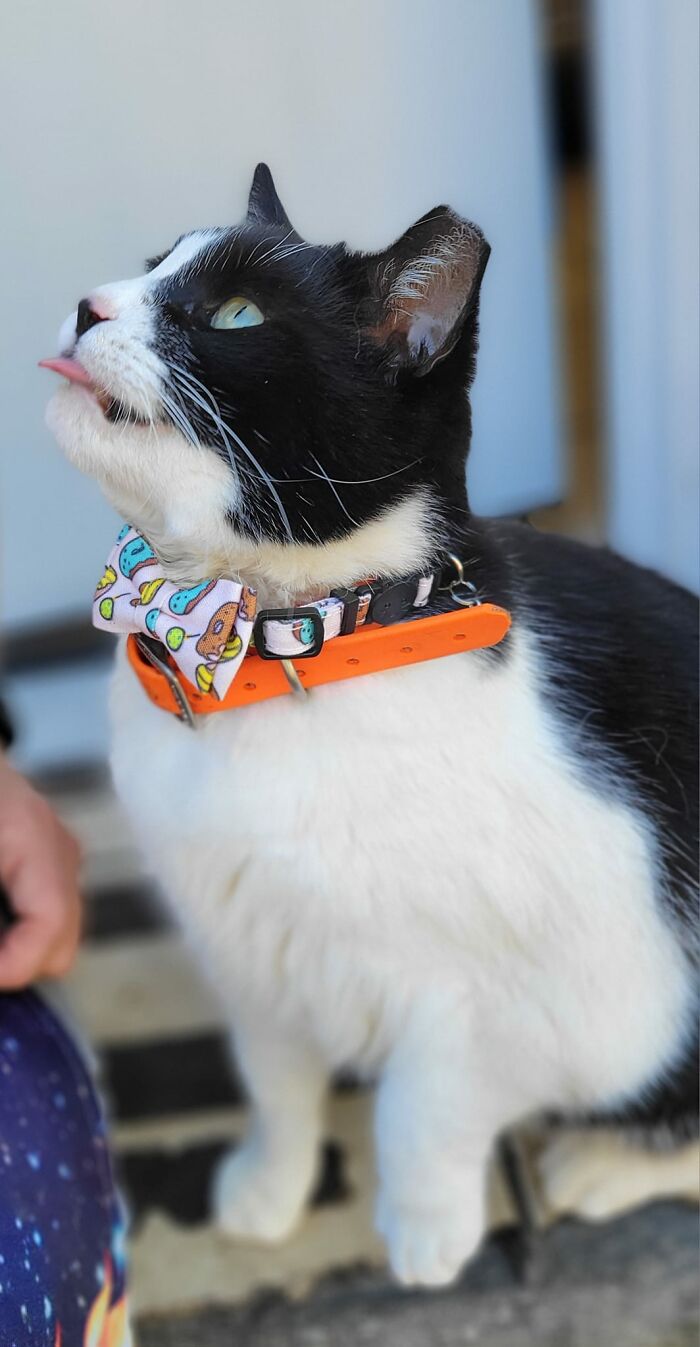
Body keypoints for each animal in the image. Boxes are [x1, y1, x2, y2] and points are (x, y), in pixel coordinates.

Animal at [45, 165, 700, 1282]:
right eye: (149, 268)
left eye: (234, 313)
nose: (87, 305)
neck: (276, 652)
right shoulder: (247, 944)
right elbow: (274, 1080)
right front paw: (268, 1189)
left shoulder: (512, 992)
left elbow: (422, 1111)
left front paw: (428, 1234)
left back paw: (596, 1165)